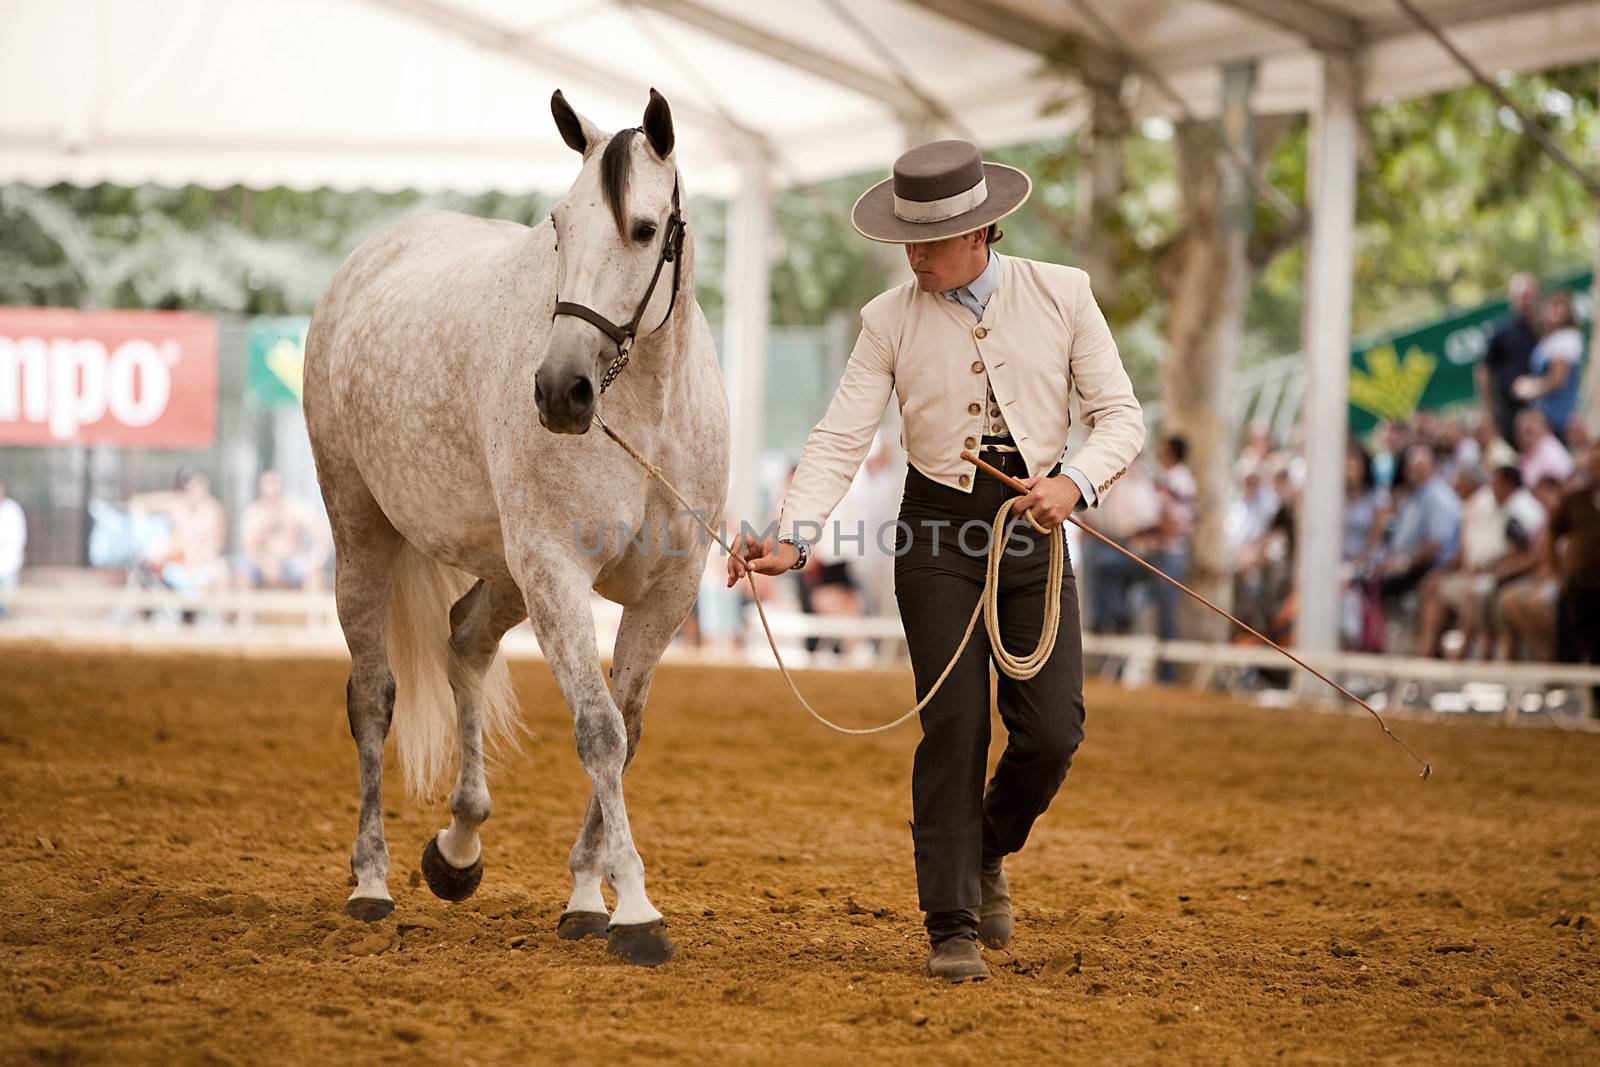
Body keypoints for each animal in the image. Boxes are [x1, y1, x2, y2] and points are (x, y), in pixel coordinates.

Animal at [302, 87, 729, 966]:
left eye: (644, 228)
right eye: (559, 224)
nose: (560, 389)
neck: (646, 413)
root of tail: (372, 257)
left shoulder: (668, 591)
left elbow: (628, 730)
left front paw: (586, 895)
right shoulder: (557, 570)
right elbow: (599, 731)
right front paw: (637, 910)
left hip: (504, 569)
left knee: (464, 639)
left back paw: (458, 847)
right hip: (365, 532)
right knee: (372, 696)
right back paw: (372, 879)